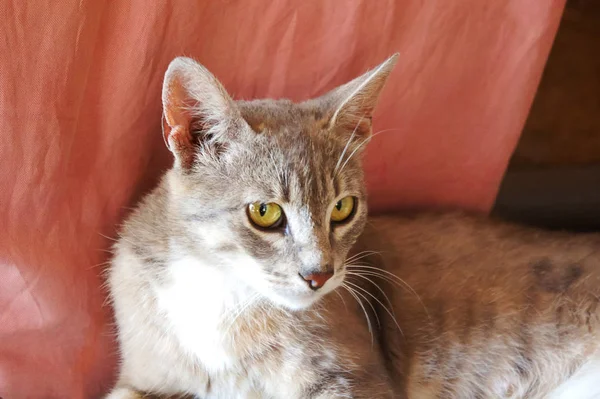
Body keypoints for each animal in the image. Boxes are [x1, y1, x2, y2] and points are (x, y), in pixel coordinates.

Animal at [104, 54, 600, 399]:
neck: (226, 295)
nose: (319, 275)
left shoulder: (352, 377)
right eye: (265, 212)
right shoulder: (146, 371)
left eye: (342, 208)